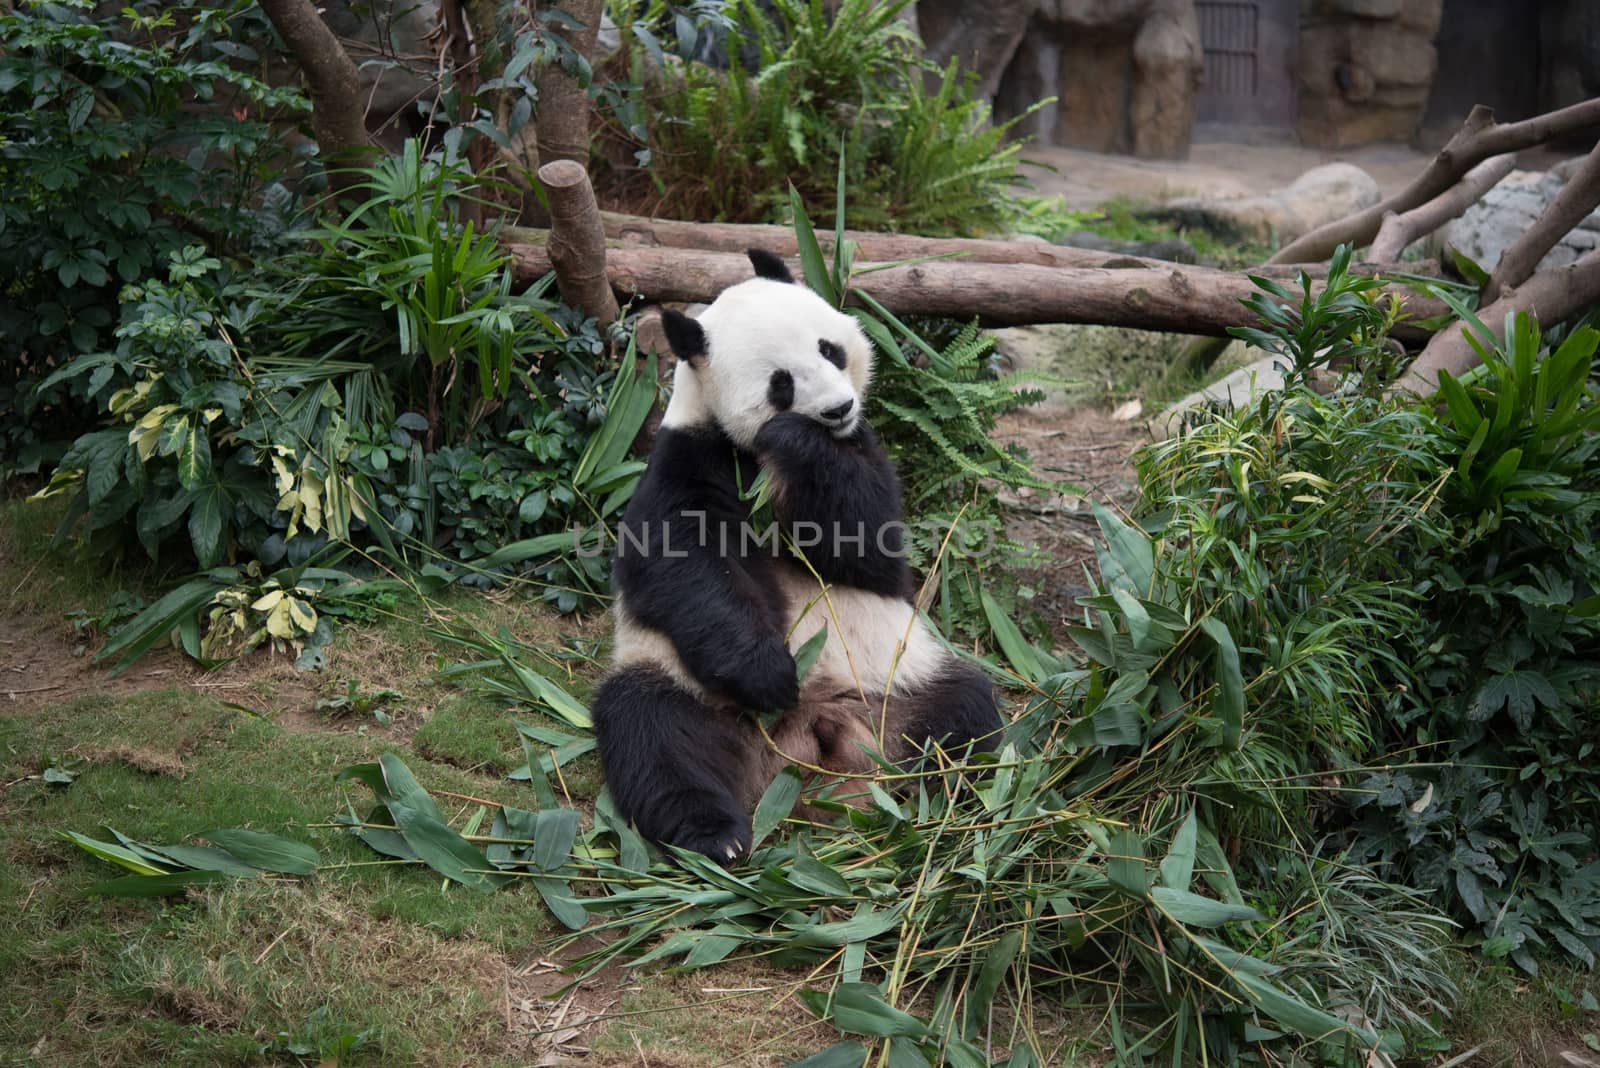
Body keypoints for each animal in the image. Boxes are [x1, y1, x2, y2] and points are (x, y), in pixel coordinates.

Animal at [595, 254, 1004, 863]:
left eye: (829, 349)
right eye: (780, 383)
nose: (838, 408)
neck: (751, 454)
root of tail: (802, 750)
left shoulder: (860, 449)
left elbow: (871, 546)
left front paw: (799, 443)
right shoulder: (686, 459)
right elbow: (681, 563)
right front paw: (768, 671)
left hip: (897, 679)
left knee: (962, 710)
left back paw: (942, 799)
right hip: (681, 683)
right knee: (654, 737)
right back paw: (717, 837)